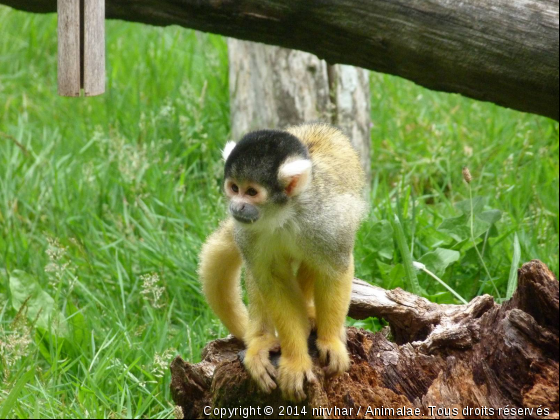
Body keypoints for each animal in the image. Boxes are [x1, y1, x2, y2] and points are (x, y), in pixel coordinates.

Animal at [198, 123, 368, 402]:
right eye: (234, 187)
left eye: (252, 192)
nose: (237, 206)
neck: (283, 215)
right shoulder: (248, 232)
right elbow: (274, 283)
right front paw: (296, 361)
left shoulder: (324, 221)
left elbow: (335, 269)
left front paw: (330, 340)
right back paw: (261, 339)